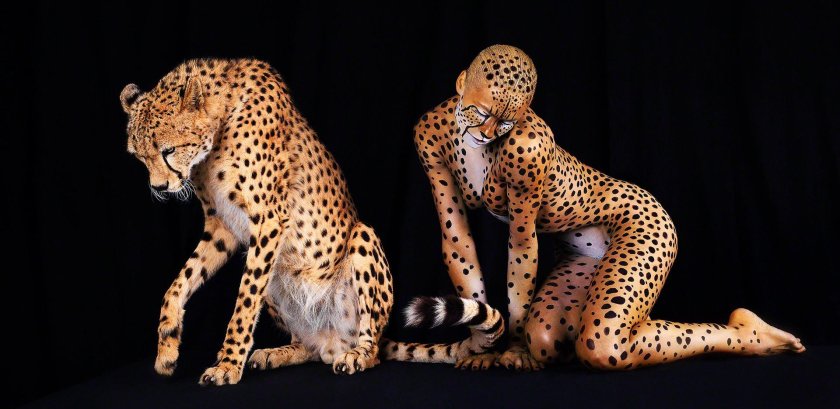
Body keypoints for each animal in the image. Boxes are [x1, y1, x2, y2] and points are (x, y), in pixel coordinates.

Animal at [120, 58, 503, 385]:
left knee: (372, 348)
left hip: (362, 240)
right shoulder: (223, 227)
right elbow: (180, 282)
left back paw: (357, 356)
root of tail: (333, 339)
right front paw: (167, 349)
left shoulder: (268, 221)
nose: (159, 187)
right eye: (139, 156)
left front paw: (227, 364)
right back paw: (279, 352)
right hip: (280, 281)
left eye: (168, 150)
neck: (219, 121)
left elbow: (243, 302)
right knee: (311, 348)